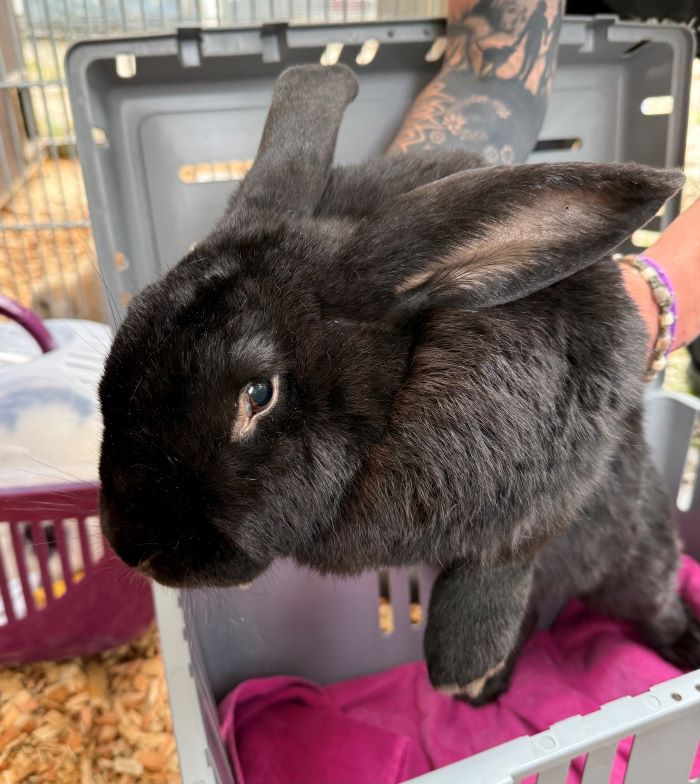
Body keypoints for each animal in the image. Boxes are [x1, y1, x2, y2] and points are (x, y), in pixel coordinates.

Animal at [98, 63, 695, 704]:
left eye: (259, 393)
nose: (133, 548)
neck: (395, 399)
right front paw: (474, 680)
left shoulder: (568, 460)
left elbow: (506, 553)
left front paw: (461, 667)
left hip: (638, 557)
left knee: (654, 599)